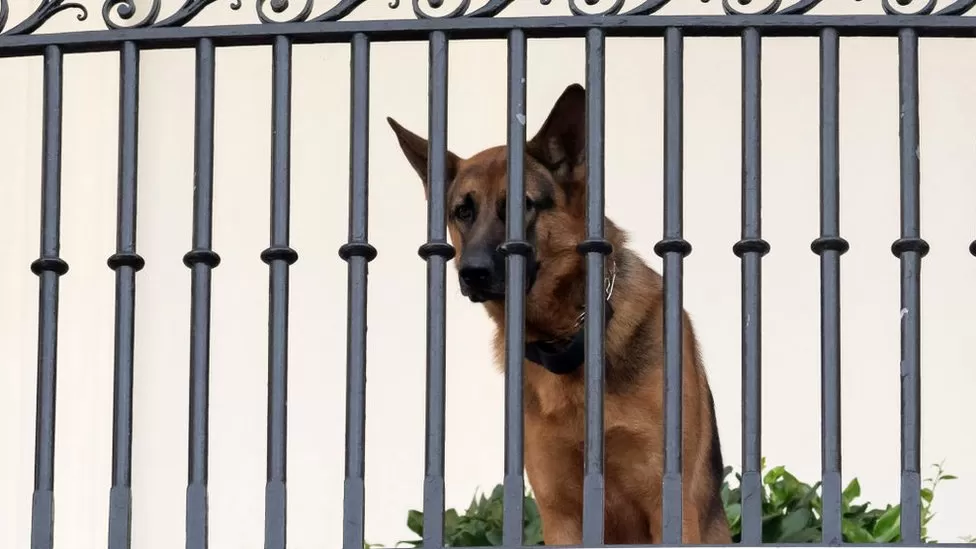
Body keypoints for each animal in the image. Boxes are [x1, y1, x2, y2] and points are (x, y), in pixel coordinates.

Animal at [387, 83, 731, 545]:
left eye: (523, 205)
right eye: (463, 211)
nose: (471, 273)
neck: (567, 337)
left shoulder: (667, 505)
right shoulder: (560, 515)